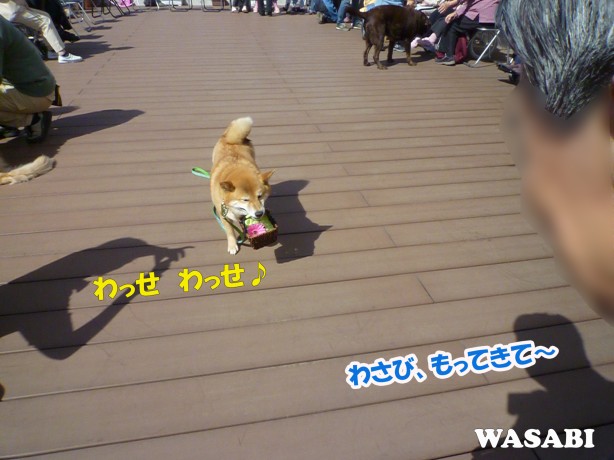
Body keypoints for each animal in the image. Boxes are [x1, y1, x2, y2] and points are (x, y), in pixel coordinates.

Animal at [210, 117, 274, 255]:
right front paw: (232, 245)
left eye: (260, 196)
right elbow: (230, 231)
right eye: (245, 199)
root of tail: (231, 139)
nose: (259, 213)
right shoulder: (223, 215)